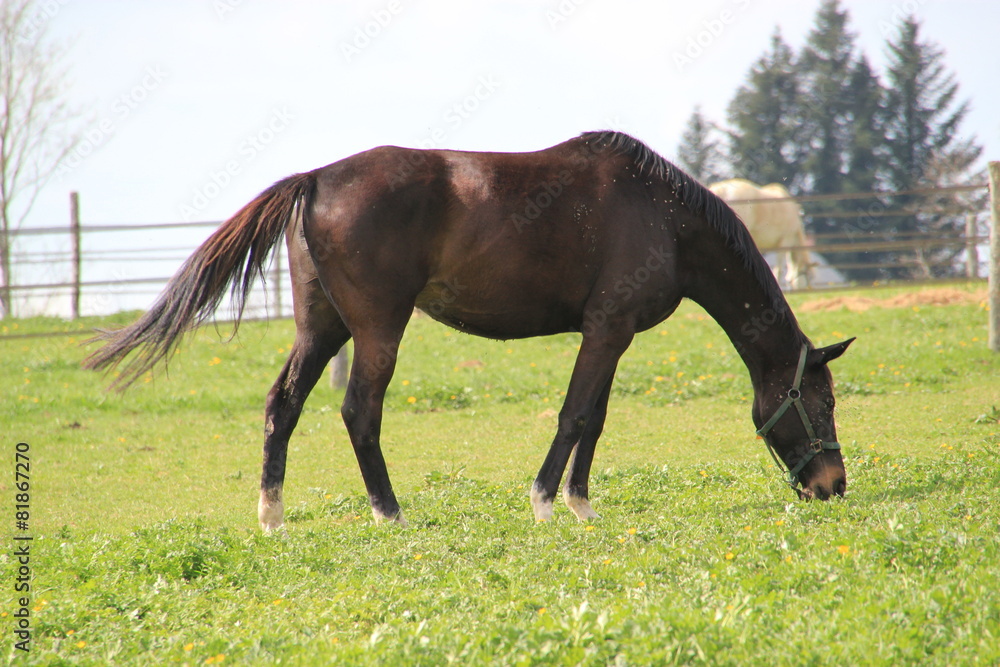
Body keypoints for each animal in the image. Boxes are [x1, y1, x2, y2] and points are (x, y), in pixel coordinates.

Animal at [85, 131, 854, 531]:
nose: (833, 483)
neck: (663, 215)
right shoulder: (607, 328)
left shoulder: (614, 334)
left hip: (322, 326)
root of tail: (317, 177)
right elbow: (575, 414)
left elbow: (596, 417)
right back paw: (388, 512)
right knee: (359, 410)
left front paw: (579, 503)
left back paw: (273, 514)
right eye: (822, 400)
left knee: (285, 403)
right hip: (377, 329)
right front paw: (544, 502)